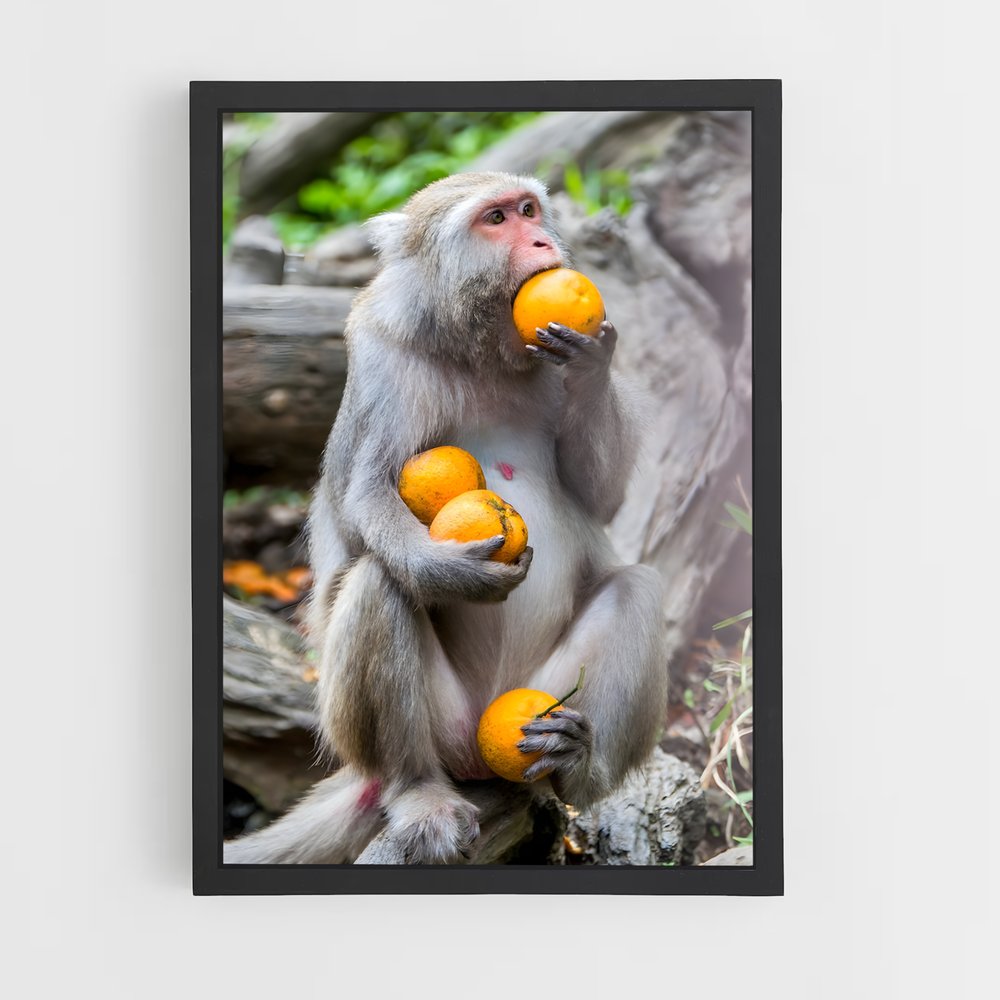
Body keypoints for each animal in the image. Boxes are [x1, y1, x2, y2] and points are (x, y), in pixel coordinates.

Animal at [223, 172, 668, 865]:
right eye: (496, 220)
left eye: (529, 210)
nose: (542, 241)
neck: (478, 347)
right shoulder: (383, 358)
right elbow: (367, 497)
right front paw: (451, 575)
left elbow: (601, 496)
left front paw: (592, 364)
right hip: (442, 732)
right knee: (379, 583)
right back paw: (416, 791)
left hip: (536, 699)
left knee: (637, 590)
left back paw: (578, 766)